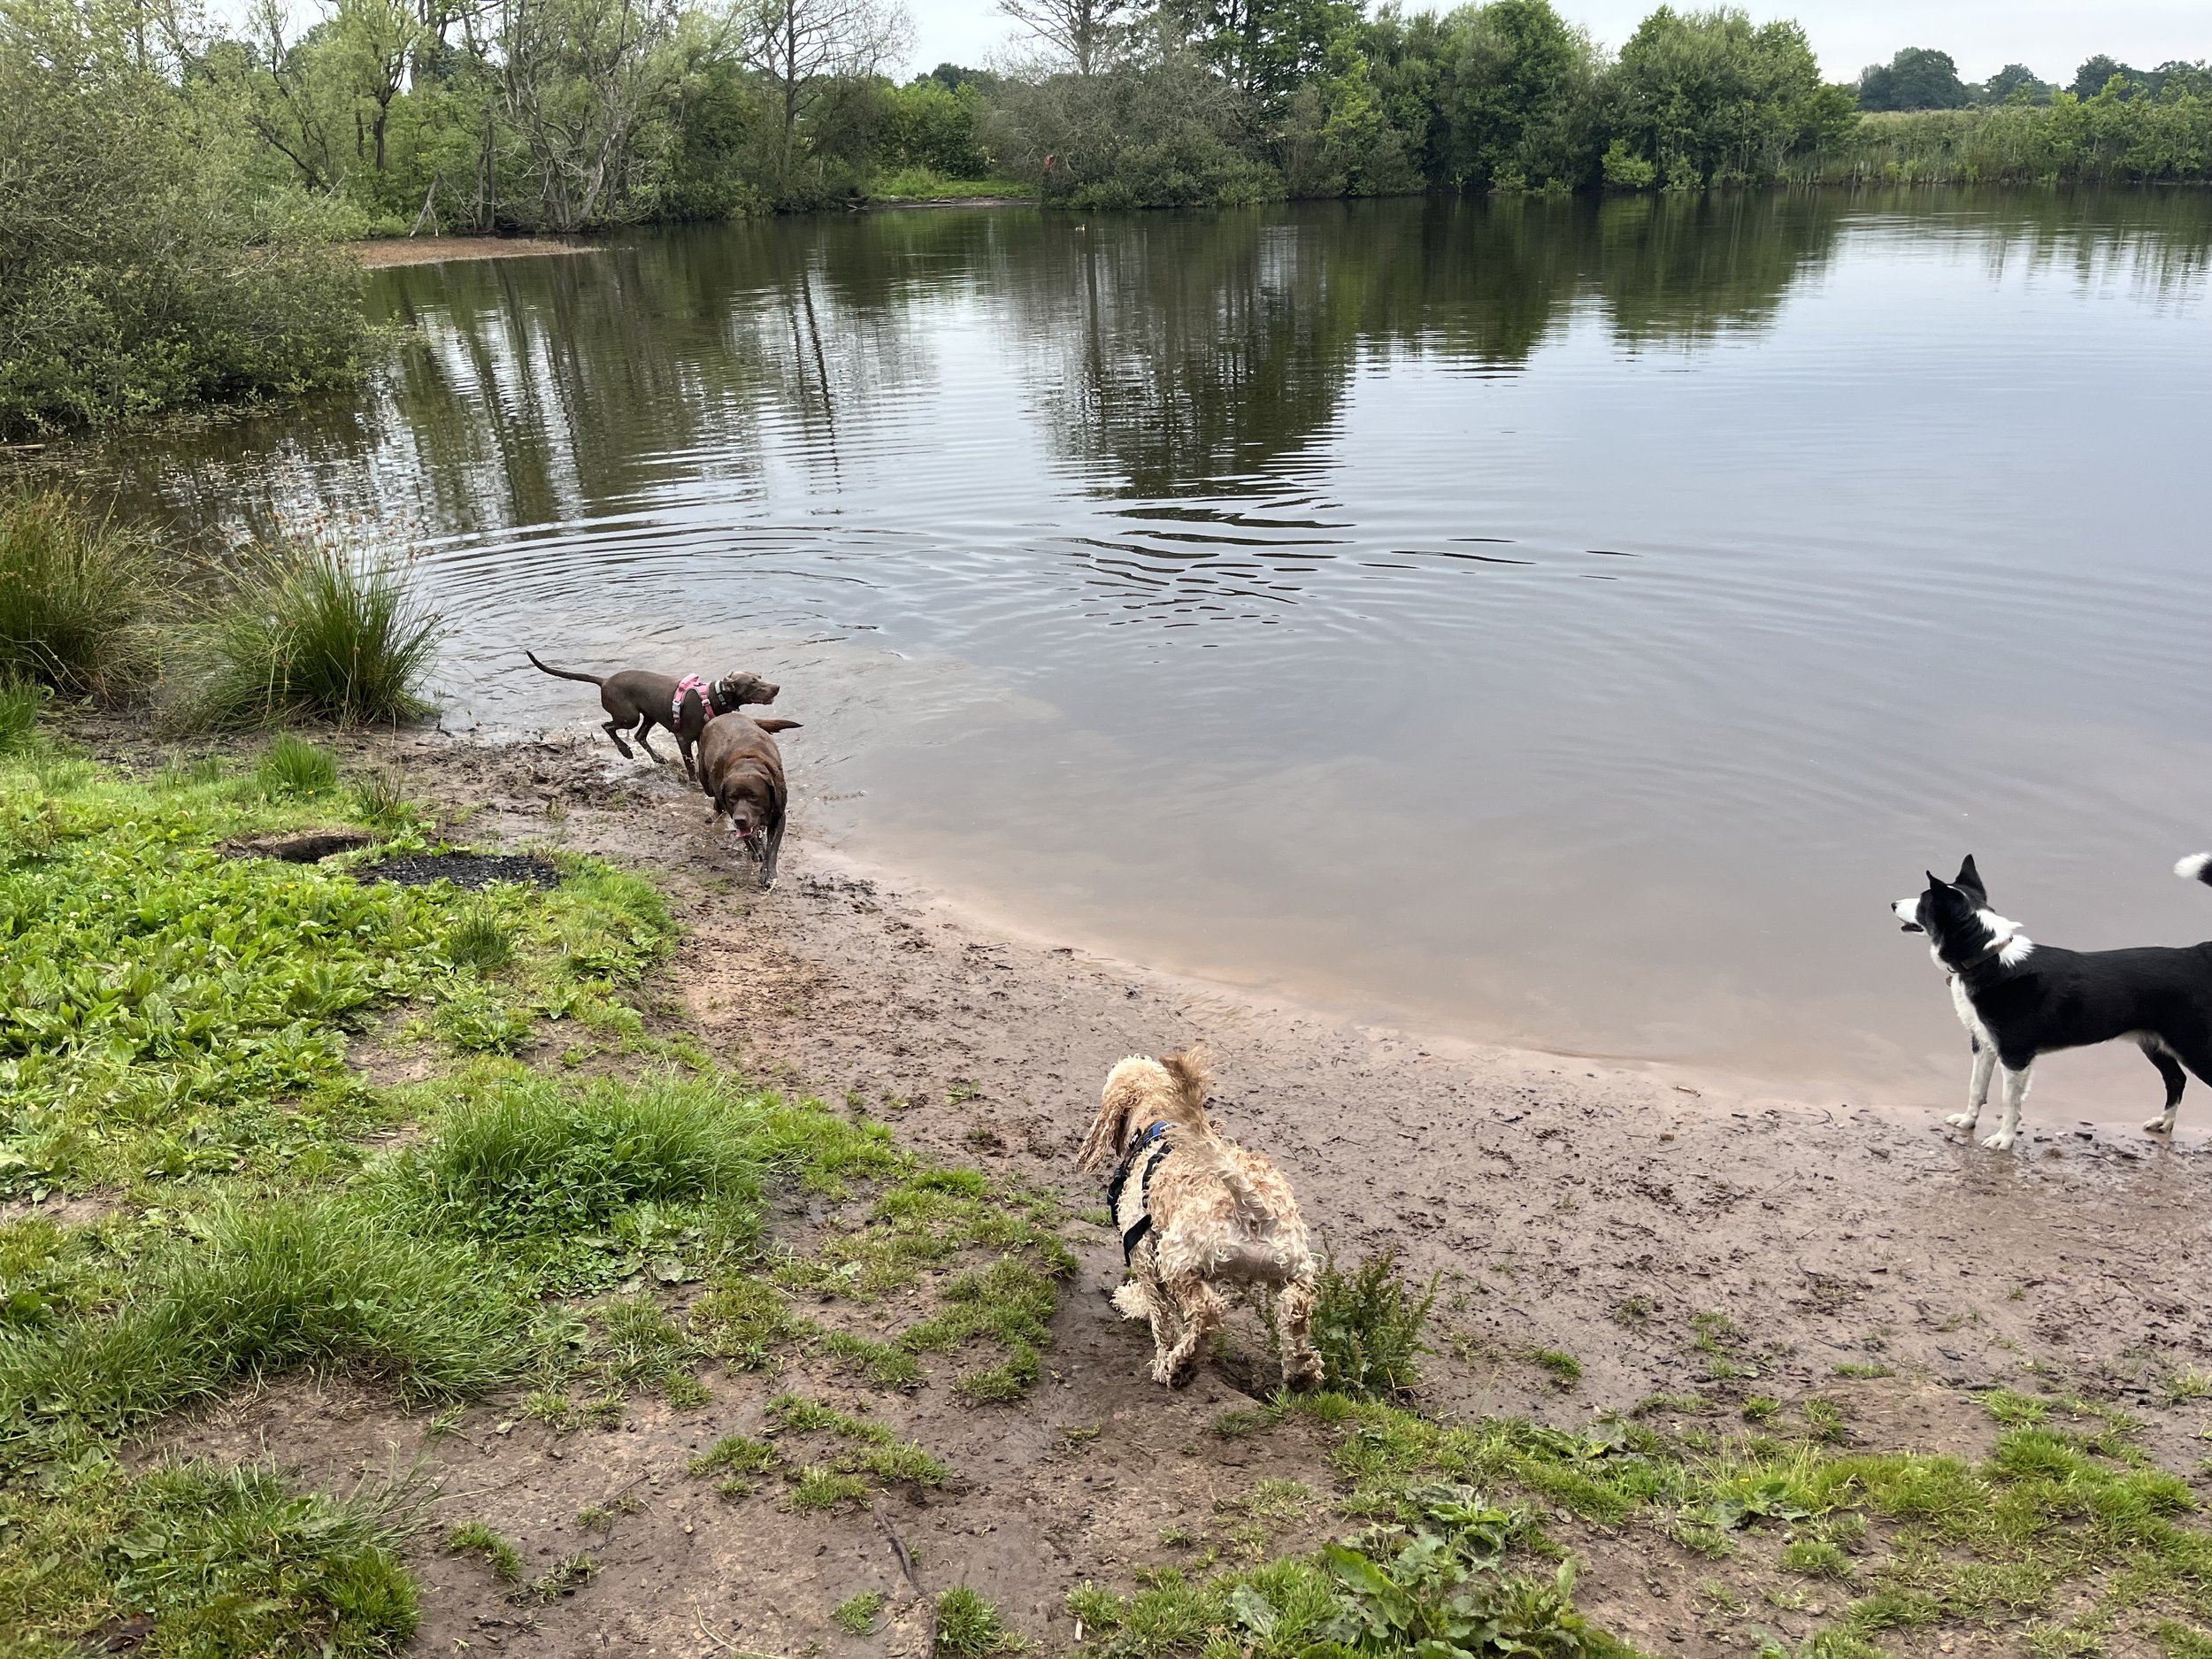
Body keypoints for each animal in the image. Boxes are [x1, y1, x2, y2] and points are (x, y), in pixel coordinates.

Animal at [526, 650, 779, 779]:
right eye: (753, 683)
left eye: (760, 676)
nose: (776, 687)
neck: (712, 697)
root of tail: (604, 681)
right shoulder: (683, 738)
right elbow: (690, 765)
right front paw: (694, 781)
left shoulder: (702, 738)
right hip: (629, 716)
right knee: (609, 727)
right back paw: (625, 751)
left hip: (649, 715)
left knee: (639, 736)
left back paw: (656, 758)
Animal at [699, 712, 805, 889]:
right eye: (733, 798)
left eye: (754, 797)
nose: (740, 819)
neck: (747, 762)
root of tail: (723, 715)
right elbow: (748, 837)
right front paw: (756, 850)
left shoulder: (778, 816)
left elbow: (772, 849)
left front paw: (769, 874)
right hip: (705, 779)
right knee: (714, 796)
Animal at [1079, 1053, 1318, 1389]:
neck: (1157, 1122)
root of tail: (1251, 1206)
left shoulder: (1145, 1253)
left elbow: (1161, 1317)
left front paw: (1160, 1349)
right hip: (1292, 1268)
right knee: (1296, 1310)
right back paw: (1301, 1372)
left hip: (1176, 1257)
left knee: (1206, 1310)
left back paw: (1180, 1365)